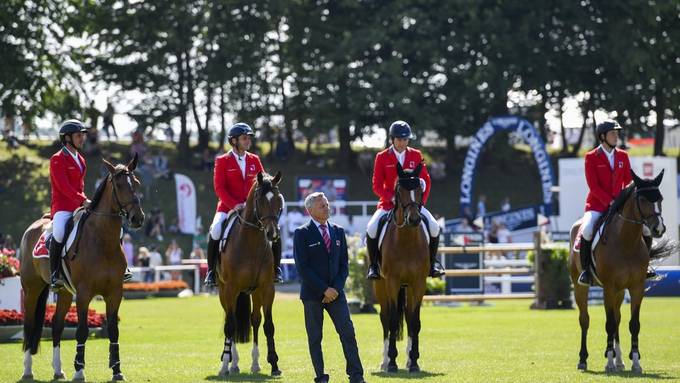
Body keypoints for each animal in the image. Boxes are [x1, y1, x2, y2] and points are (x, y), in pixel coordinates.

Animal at [19, 154, 144, 382]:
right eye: (119, 185)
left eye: (136, 183)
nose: (137, 218)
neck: (102, 242)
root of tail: (33, 227)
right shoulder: (85, 293)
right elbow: (82, 330)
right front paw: (79, 370)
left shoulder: (115, 292)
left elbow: (113, 330)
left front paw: (117, 370)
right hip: (32, 289)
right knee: (29, 325)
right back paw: (27, 371)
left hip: (65, 292)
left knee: (57, 326)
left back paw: (58, 370)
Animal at [216, 171, 282, 378]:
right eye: (260, 200)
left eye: (278, 199)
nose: (272, 234)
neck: (251, 243)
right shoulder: (230, 289)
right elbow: (230, 325)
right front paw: (225, 364)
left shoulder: (267, 288)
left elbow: (268, 325)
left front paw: (274, 364)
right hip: (223, 292)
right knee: (231, 321)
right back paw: (232, 362)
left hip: (254, 292)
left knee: (255, 320)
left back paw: (254, 364)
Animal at [374, 160, 428, 374]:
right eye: (399, 190)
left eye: (420, 190)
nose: (414, 219)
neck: (406, 241)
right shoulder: (392, 282)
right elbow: (392, 321)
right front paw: (392, 363)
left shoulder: (419, 283)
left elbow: (414, 321)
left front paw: (413, 362)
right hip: (380, 285)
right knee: (385, 318)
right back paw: (385, 361)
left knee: (407, 314)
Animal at [568, 171, 676, 376]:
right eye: (642, 199)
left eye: (660, 199)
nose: (658, 229)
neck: (626, 242)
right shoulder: (609, 287)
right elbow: (608, 324)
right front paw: (608, 363)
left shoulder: (636, 287)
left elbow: (633, 324)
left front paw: (635, 363)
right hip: (580, 286)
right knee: (585, 320)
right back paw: (583, 360)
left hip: (619, 292)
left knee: (617, 319)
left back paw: (619, 361)